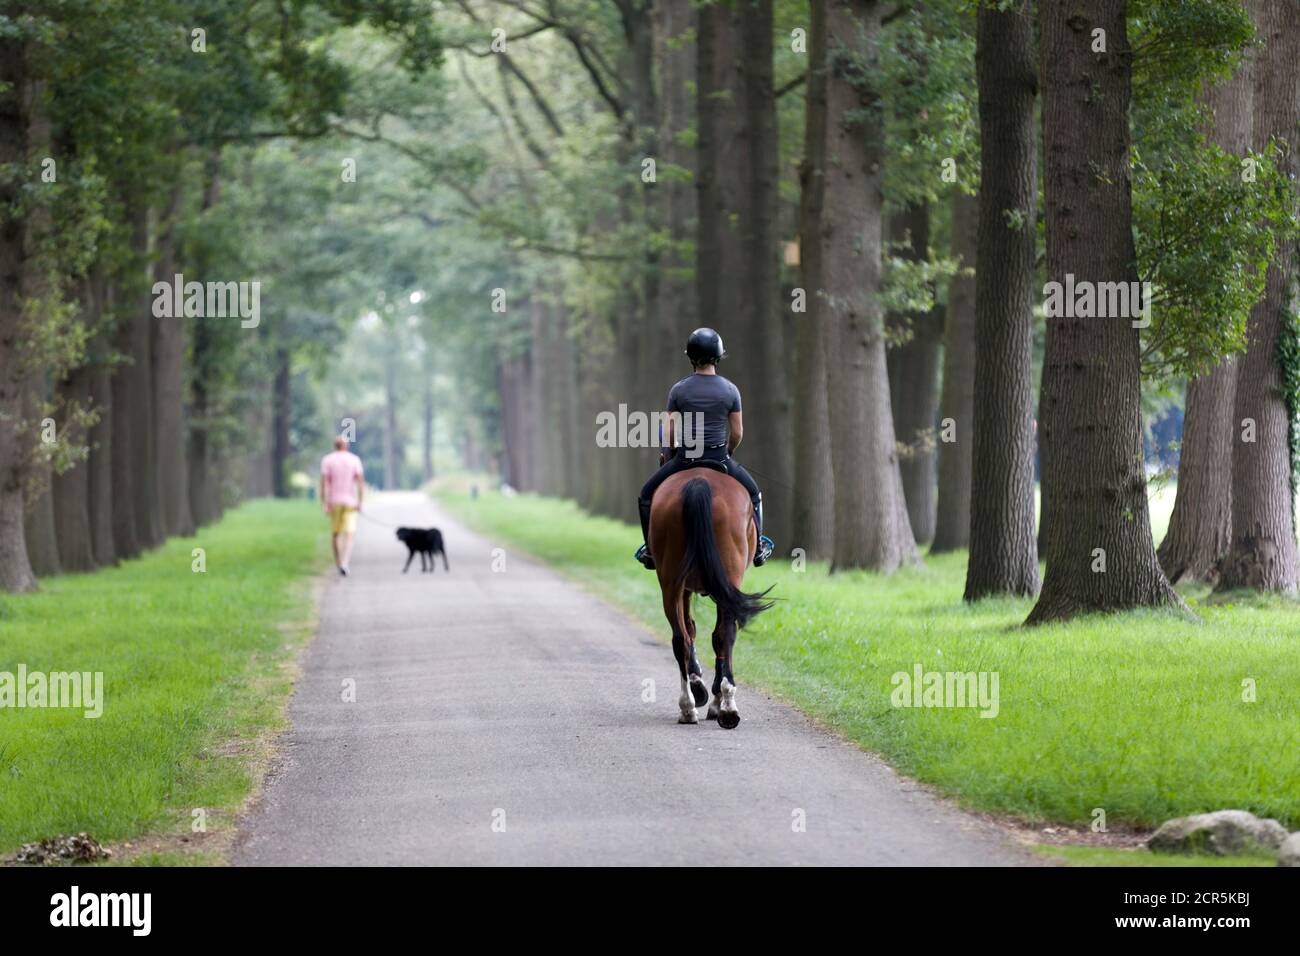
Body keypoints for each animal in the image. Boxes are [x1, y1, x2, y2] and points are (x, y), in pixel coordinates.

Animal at [649, 467, 774, 729]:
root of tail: (699, 483)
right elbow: (713, 635)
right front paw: (711, 697)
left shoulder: (685, 587)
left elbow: (693, 630)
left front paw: (701, 689)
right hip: (726, 576)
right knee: (724, 633)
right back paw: (723, 707)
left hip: (671, 582)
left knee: (681, 639)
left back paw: (691, 708)